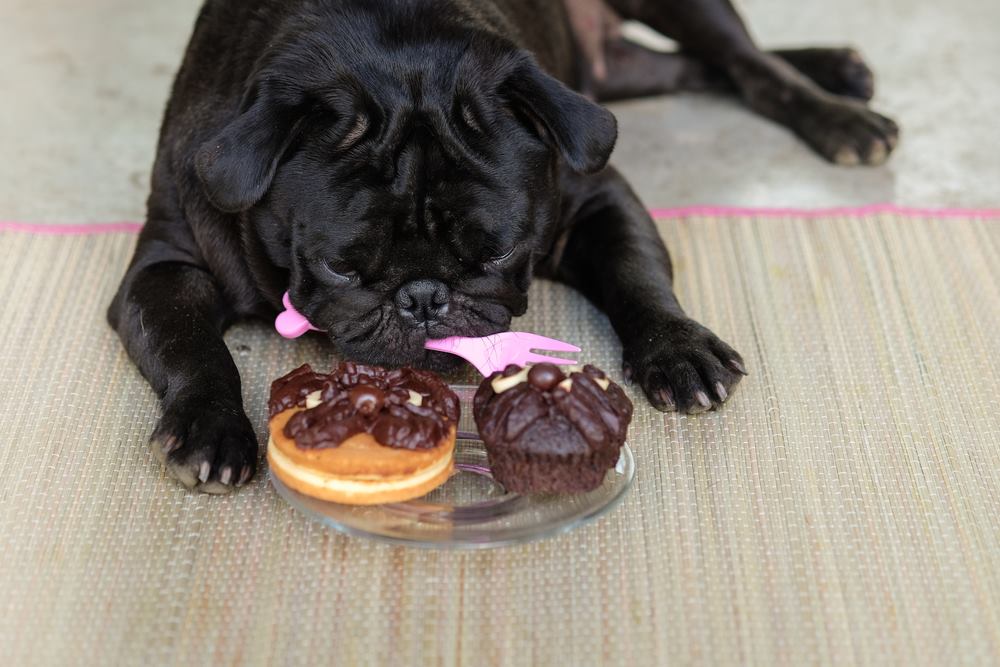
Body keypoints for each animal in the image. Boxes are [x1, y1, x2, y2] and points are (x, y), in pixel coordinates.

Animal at [109, 0, 900, 490]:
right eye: (340, 266)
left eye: (494, 253)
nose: (424, 297)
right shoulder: (166, 267)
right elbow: (192, 347)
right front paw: (210, 429)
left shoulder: (597, 196)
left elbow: (637, 275)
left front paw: (678, 348)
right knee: (689, 67)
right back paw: (840, 68)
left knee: (747, 64)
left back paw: (838, 106)